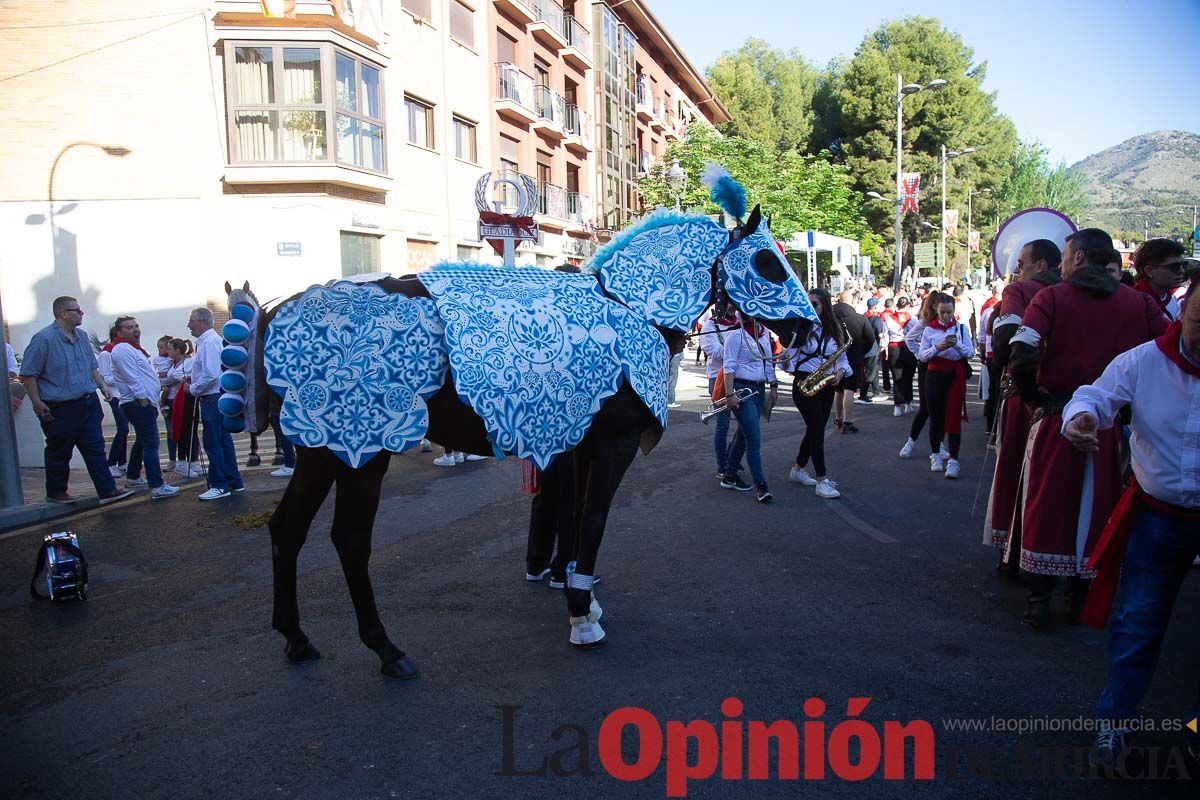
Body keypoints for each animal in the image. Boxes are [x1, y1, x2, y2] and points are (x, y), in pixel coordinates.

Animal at [241, 199, 825, 676]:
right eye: (768, 263)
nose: (810, 329)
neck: (631, 312)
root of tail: (282, 307)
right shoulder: (612, 448)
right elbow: (592, 524)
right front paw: (582, 618)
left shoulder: (581, 447)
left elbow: (577, 523)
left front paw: (581, 598)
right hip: (362, 451)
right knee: (349, 539)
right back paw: (386, 649)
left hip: (322, 452)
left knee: (287, 529)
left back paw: (296, 638)